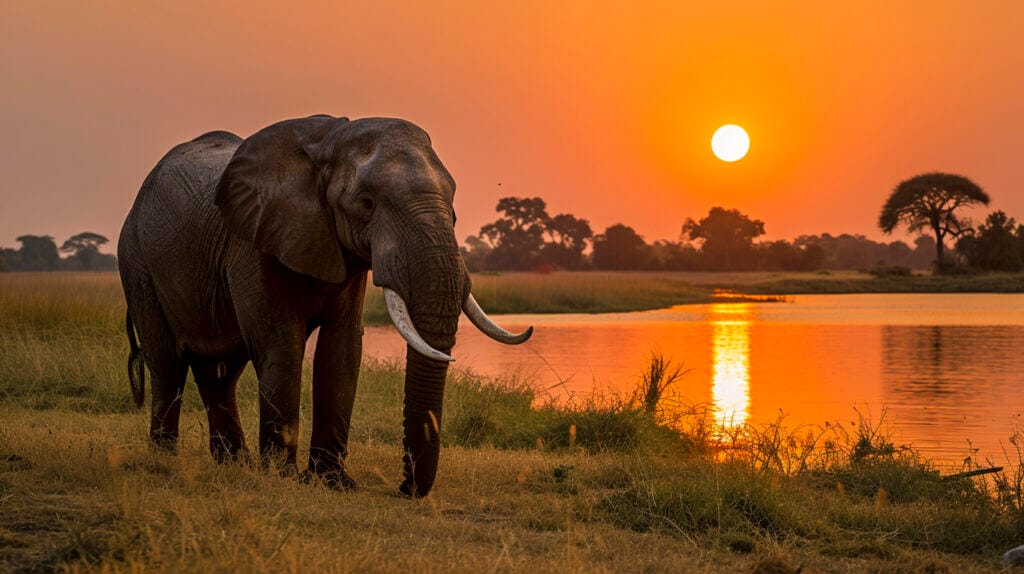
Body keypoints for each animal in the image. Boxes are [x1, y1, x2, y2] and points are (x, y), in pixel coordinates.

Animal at [118, 114, 532, 495]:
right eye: (366, 204)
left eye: (454, 206)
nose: (404, 488)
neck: (329, 142)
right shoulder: (253, 240)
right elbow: (280, 343)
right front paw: (282, 477)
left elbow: (342, 348)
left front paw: (333, 482)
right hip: (137, 263)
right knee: (168, 363)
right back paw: (165, 459)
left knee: (218, 372)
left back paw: (234, 464)